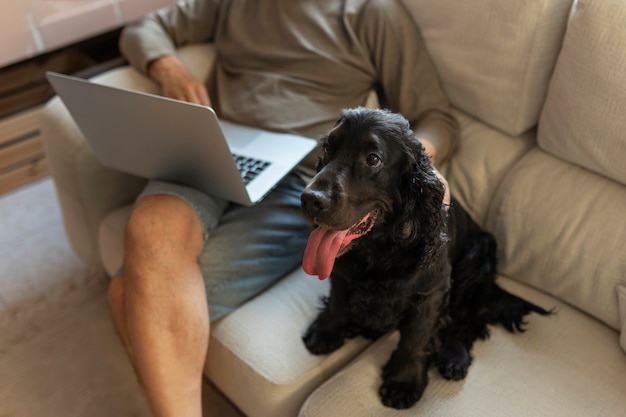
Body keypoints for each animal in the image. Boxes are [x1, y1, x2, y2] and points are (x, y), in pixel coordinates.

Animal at [300, 108, 548, 410]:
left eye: (373, 159)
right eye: (327, 147)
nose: (309, 199)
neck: (378, 250)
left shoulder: (431, 291)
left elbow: (415, 337)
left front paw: (403, 382)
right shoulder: (342, 271)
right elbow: (337, 300)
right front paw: (326, 331)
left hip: (477, 258)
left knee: (469, 319)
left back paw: (454, 356)